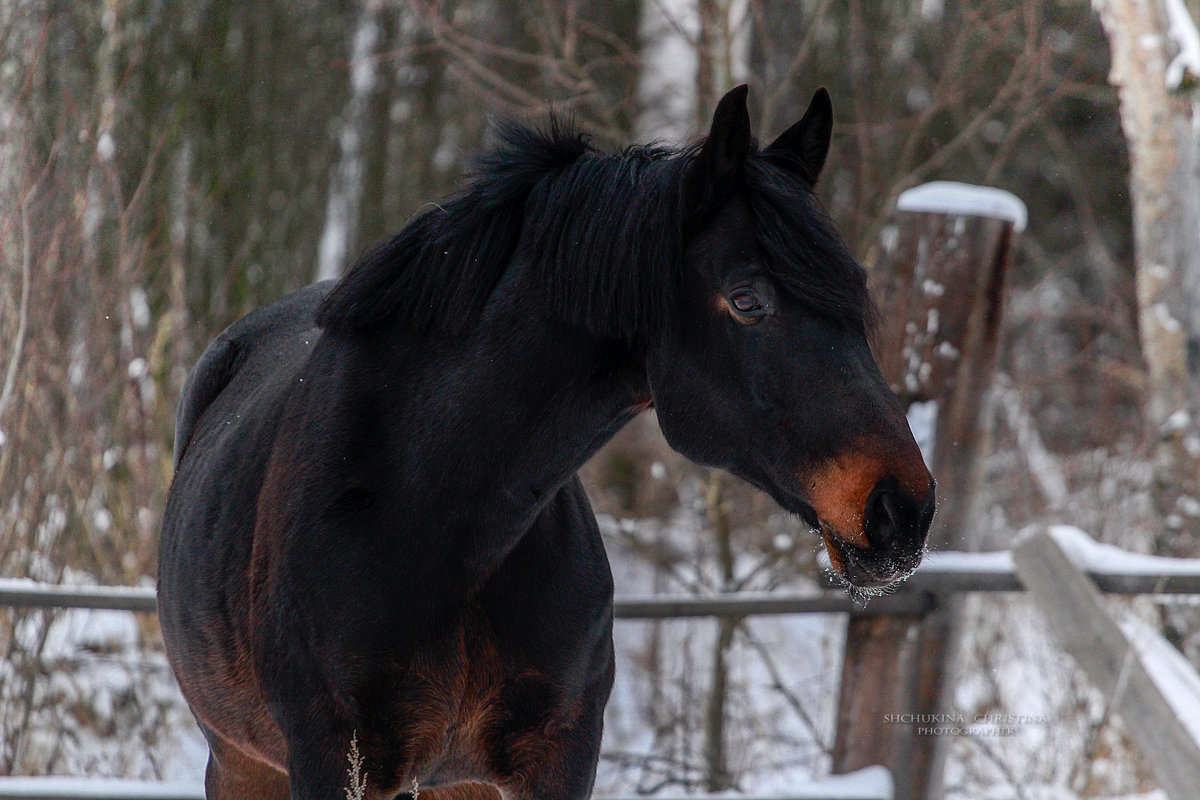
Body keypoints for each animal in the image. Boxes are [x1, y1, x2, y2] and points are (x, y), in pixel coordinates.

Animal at [154, 87, 931, 800]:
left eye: (857, 292)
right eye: (748, 300)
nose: (905, 509)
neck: (425, 508)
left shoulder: (559, 755)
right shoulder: (331, 758)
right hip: (244, 762)